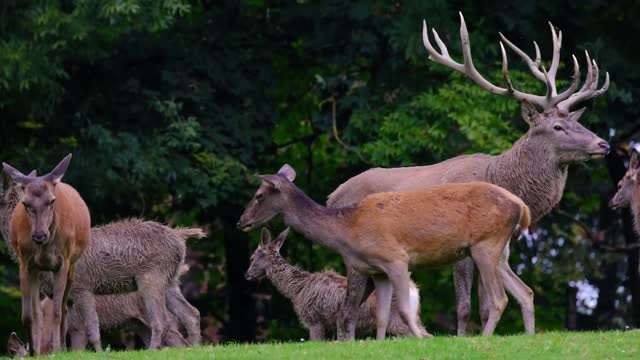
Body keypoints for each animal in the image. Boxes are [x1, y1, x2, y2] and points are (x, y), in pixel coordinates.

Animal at [2, 155, 90, 354]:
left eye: (51, 201)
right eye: (25, 203)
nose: (39, 235)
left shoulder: (63, 262)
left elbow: (56, 311)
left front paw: (56, 349)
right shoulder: (25, 263)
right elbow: (28, 315)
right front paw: (33, 351)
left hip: (73, 266)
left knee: (64, 308)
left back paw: (63, 347)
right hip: (37, 271)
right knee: (38, 312)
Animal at [248, 228, 428, 340]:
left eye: (252, 257)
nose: (247, 274)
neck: (297, 289)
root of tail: (415, 290)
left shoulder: (314, 319)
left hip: (395, 318)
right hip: (414, 317)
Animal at [328, 11, 612, 338]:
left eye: (578, 122)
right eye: (557, 126)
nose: (603, 144)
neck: (503, 179)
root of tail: (332, 196)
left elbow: (486, 305)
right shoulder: (461, 246)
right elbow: (464, 306)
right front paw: (463, 338)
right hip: (355, 255)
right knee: (346, 311)